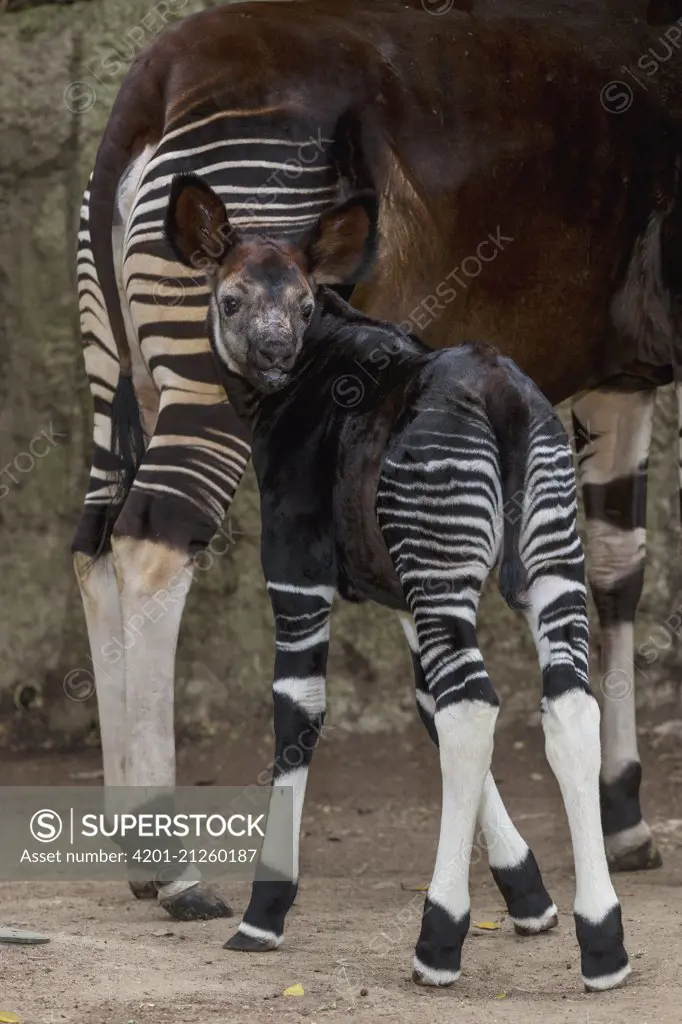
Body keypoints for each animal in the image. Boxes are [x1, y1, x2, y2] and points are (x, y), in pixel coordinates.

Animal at [164, 178, 626, 991]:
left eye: (303, 305)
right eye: (231, 299)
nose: (277, 353)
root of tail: (504, 398)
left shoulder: (298, 572)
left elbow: (299, 715)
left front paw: (264, 913)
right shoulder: (407, 589)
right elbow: (424, 706)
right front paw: (530, 898)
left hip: (449, 567)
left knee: (476, 706)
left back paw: (437, 941)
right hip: (544, 562)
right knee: (564, 702)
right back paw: (603, 944)